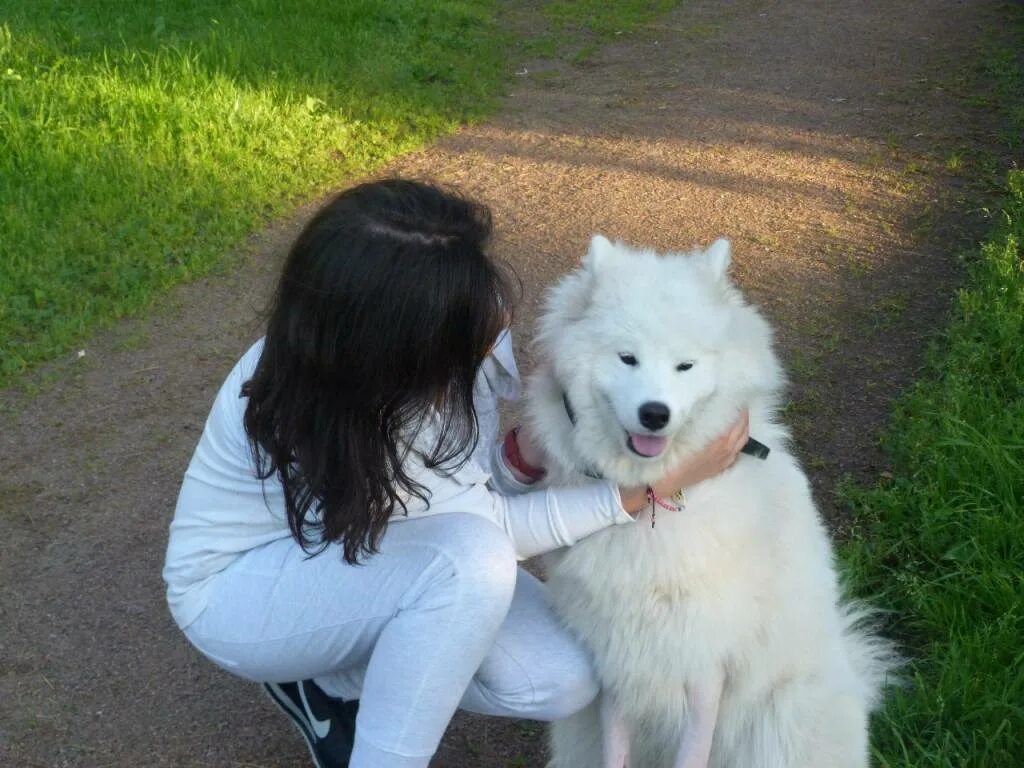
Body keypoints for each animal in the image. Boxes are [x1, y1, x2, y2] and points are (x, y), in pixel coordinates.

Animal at [528, 237, 897, 768]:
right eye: (627, 358)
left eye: (686, 365)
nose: (655, 414)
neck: (655, 507)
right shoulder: (619, 658)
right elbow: (616, 752)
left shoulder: (704, 663)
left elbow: (693, 754)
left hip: (781, 719)